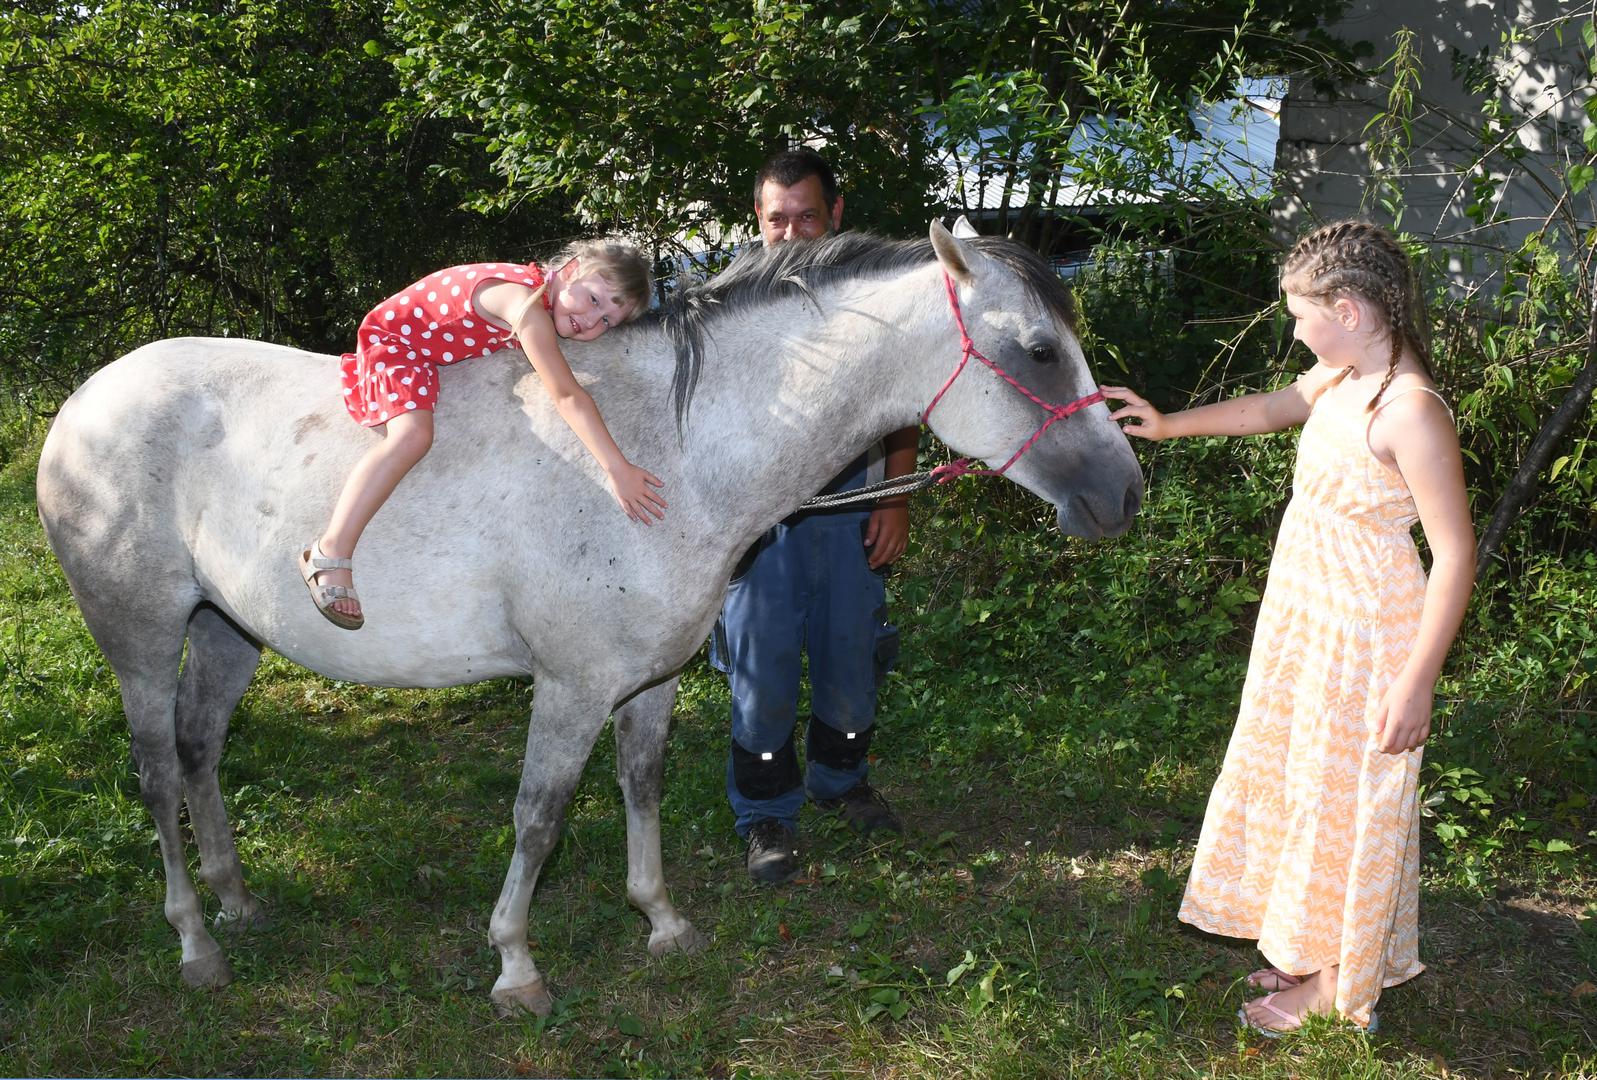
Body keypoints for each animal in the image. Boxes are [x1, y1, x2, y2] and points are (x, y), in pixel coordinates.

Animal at [34, 223, 1137, 1016]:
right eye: (1039, 350)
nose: (1124, 495)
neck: (673, 454)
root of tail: (84, 401)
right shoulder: (568, 688)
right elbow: (541, 813)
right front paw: (515, 967)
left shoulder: (647, 682)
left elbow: (638, 785)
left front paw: (661, 922)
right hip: (140, 640)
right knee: (156, 772)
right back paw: (195, 943)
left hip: (228, 632)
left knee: (201, 752)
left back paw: (238, 902)